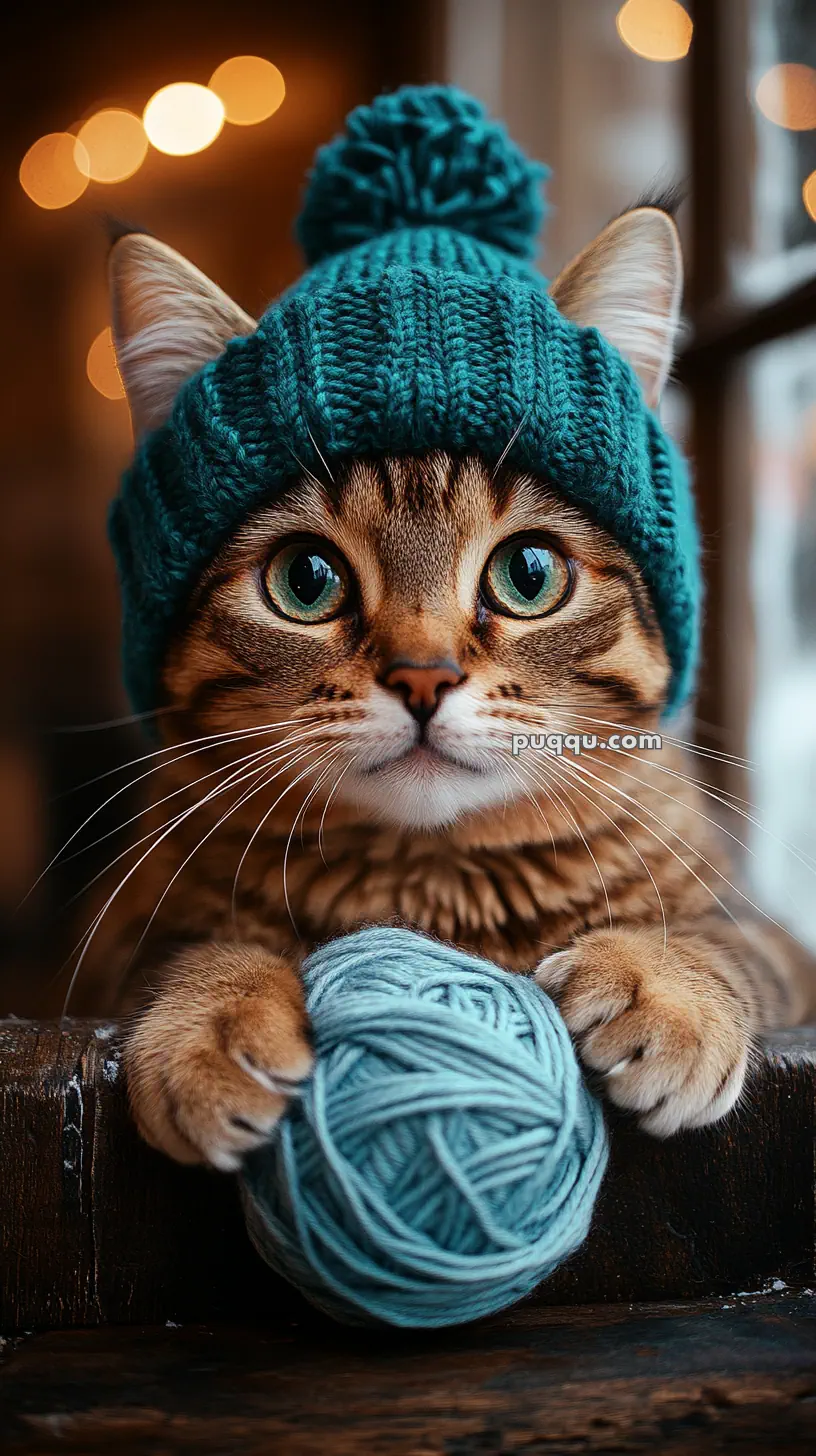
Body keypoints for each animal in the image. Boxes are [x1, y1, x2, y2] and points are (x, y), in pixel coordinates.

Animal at [77, 199, 816, 1170]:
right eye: (306, 579)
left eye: (529, 573)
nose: (424, 678)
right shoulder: (108, 950)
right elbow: (180, 947)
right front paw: (213, 1013)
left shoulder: (778, 940)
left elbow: (727, 940)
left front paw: (665, 982)